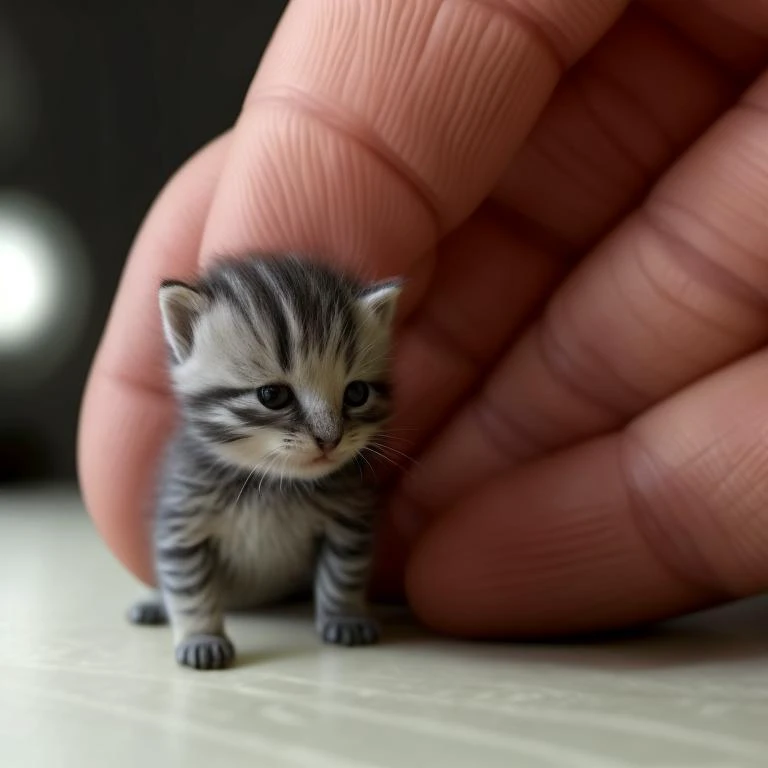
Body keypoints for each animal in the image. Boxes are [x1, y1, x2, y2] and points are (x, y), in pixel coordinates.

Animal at [127, 255, 402, 668]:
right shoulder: (181, 525)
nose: (330, 439)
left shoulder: (349, 521)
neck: (270, 483)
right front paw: (201, 637)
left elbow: (344, 574)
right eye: (272, 395)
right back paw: (153, 605)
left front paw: (345, 616)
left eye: (356, 393)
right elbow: (189, 589)